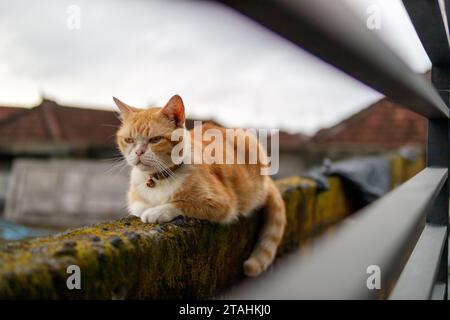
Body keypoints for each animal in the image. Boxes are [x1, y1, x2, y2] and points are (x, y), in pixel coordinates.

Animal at [114, 94, 286, 276]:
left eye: (155, 139)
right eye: (129, 140)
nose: (138, 152)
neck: (159, 178)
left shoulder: (221, 203)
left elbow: (181, 203)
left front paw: (157, 211)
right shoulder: (134, 199)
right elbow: (139, 206)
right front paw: (148, 208)